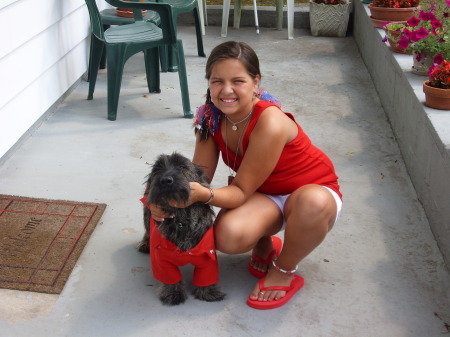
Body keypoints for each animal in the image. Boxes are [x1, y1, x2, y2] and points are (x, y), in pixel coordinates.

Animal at [138, 152, 225, 304]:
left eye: (182, 166)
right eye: (157, 169)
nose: (166, 180)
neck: (181, 219)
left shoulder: (208, 255)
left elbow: (207, 276)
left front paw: (209, 292)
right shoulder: (161, 259)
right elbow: (170, 277)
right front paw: (173, 293)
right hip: (147, 215)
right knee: (147, 230)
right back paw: (145, 244)